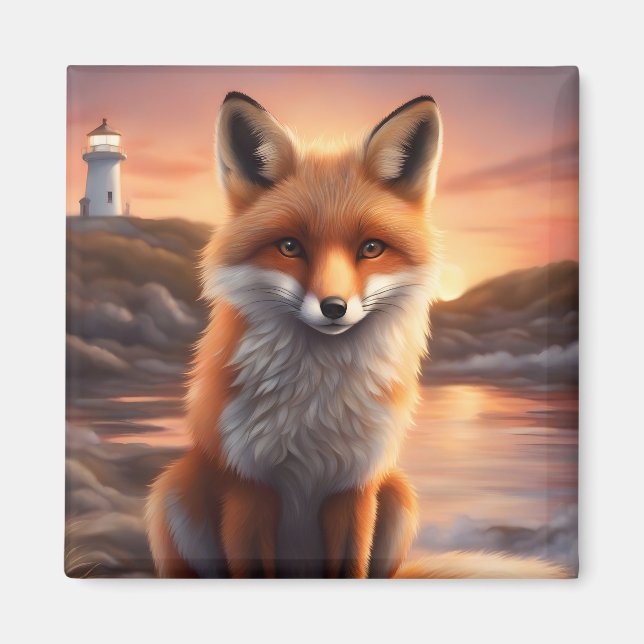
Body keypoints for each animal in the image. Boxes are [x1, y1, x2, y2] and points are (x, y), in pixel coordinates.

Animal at [145, 92, 568, 579]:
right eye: (289, 247)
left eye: (371, 248)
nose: (334, 307)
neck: (316, 407)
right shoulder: (248, 485)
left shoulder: (354, 488)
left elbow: (352, 568)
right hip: (172, 490)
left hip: (399, 493)